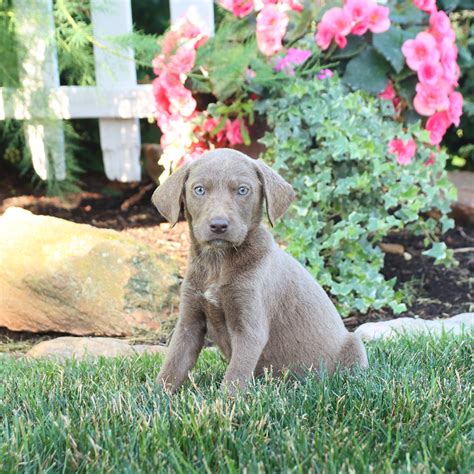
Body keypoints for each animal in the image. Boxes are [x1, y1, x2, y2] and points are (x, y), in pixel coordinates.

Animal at [152, 149, 366, 392]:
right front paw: (156, 395)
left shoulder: (250, 328)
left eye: (243, 190)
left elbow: (236, 375)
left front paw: (225, 401)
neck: (218, 262)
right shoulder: (189, 322)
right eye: (199, 190)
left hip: (354, 344)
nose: (218, 225)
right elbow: (173, 364)